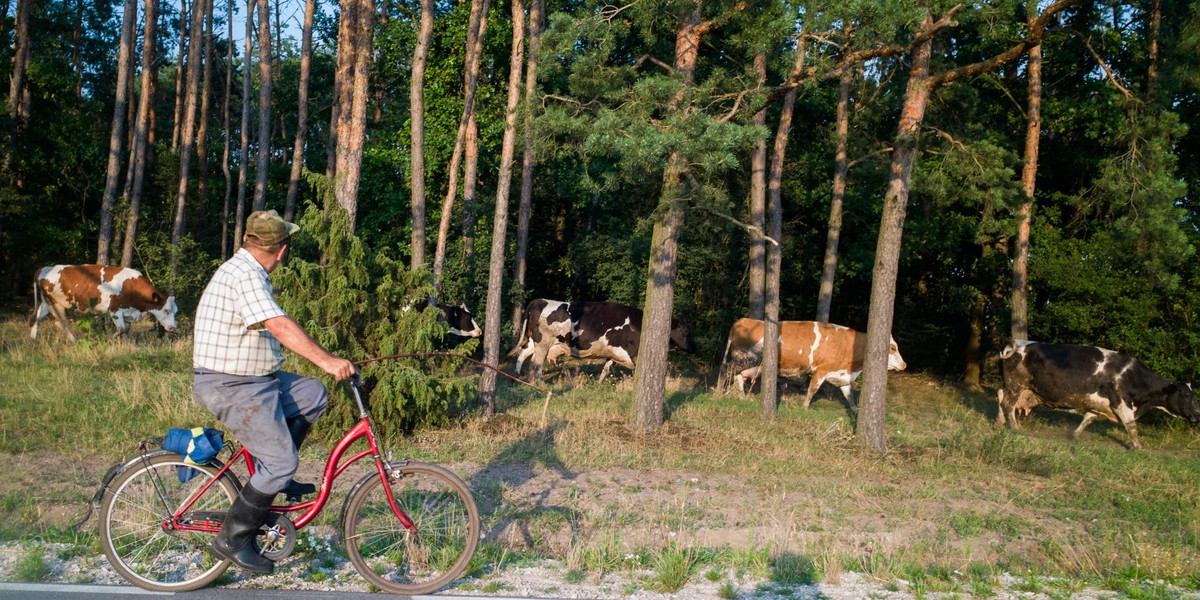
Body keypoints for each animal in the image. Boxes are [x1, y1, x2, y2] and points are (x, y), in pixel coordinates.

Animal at [30, 264, 178, 343]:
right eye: (166, 310)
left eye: (176, 311)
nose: (173, 328)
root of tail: (45, 268)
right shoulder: (115, 310)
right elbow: (122, 328)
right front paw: (109, 340)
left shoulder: (128, 313)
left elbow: (126, 330)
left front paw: (128, 345)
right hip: (55, 303)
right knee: (61, 323)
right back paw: (73, 340)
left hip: (46, 303)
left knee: (37, 318)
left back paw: (33, 339)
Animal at [511, 298, 700, 381]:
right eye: (686, 331)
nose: (694, 348)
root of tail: (540, 300)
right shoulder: (634, 353)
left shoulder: (613, 353)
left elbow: (606, 369)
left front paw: (600, 383)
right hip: (543, 342)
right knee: (536, 362)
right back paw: (538, 381)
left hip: (535, 341)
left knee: (523, 353)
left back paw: (518, 374)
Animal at [715, 319, 902, 412]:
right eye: (893, 347)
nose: (904, 364)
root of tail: (742, 319)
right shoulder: (821, 370)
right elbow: (813, 389)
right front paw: (805, 407)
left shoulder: (842, 374)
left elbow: (849, 396)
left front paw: (856, 412)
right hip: (746, 357)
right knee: (725, 369)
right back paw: (718, 392)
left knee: (739, 376)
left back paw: (741, 397)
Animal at [993, 338, 1200, 451]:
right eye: (1186, 395)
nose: (1197, 415)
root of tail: (1016, 342)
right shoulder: (1121, 402)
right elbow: (1131, 427)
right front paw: (1139, 448)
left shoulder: (1099, 404)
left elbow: (1088, 419)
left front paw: (1075, 436)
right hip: (1017, 385)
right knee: (1008, 404)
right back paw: (1015, 427)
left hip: (1016, 387)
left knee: (1001, 397)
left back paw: (998, 423)